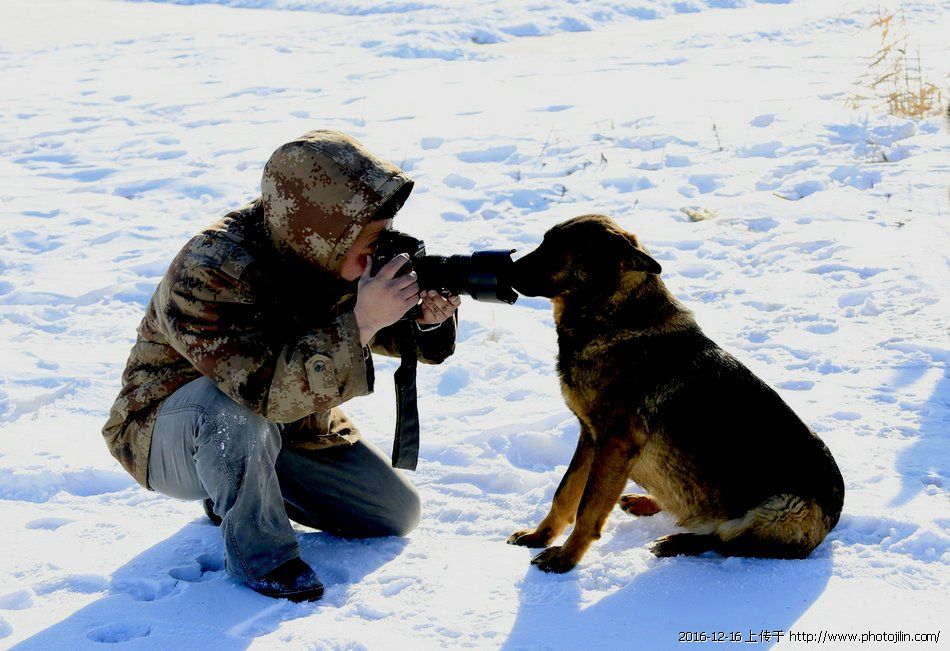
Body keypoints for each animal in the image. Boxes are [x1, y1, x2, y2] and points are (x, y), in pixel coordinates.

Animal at [507, 214, 844, 573]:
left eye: (556, 250)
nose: (504, 268)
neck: (614, 318)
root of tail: (833, 518)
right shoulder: (590, 437)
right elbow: (565, 493)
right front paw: (540, 536)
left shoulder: (614, 442)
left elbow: (589, 508)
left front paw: (566, 558)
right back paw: (646, 503)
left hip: (784, 506)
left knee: (725, 539)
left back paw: (677, 542)